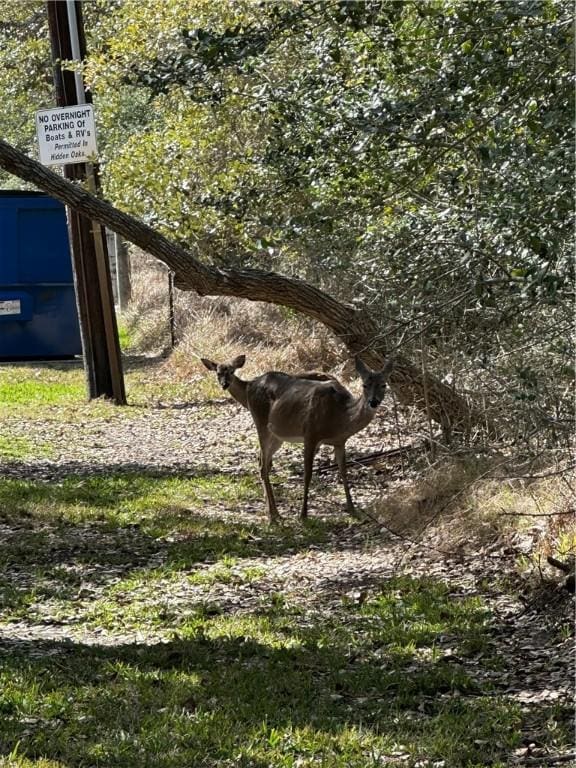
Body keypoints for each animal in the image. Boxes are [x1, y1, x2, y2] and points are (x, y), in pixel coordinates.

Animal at [200, 354, 394, 520]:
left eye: (384, 385)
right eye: (364, 385)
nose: (373, 402)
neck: (339, 418)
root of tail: (251, 386)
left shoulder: (340, 441)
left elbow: (344, 472)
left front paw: (352, 509)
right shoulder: (311, 433)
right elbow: (307, 474)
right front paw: (303, 514)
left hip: (277, 435)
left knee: (264, 463)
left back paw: (274, 511)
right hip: (261, 422)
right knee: (263, 465)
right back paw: (274, 515)